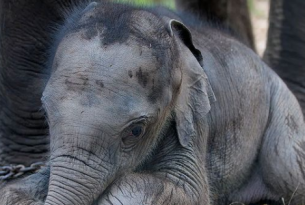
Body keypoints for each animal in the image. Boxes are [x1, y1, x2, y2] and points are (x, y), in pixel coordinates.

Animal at [0, 0, 304, 204]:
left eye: (136, 130)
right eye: (46, 115)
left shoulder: (192, 120)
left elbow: (186, 191)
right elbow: (18, 188)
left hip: (283, 110)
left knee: (286, 168)